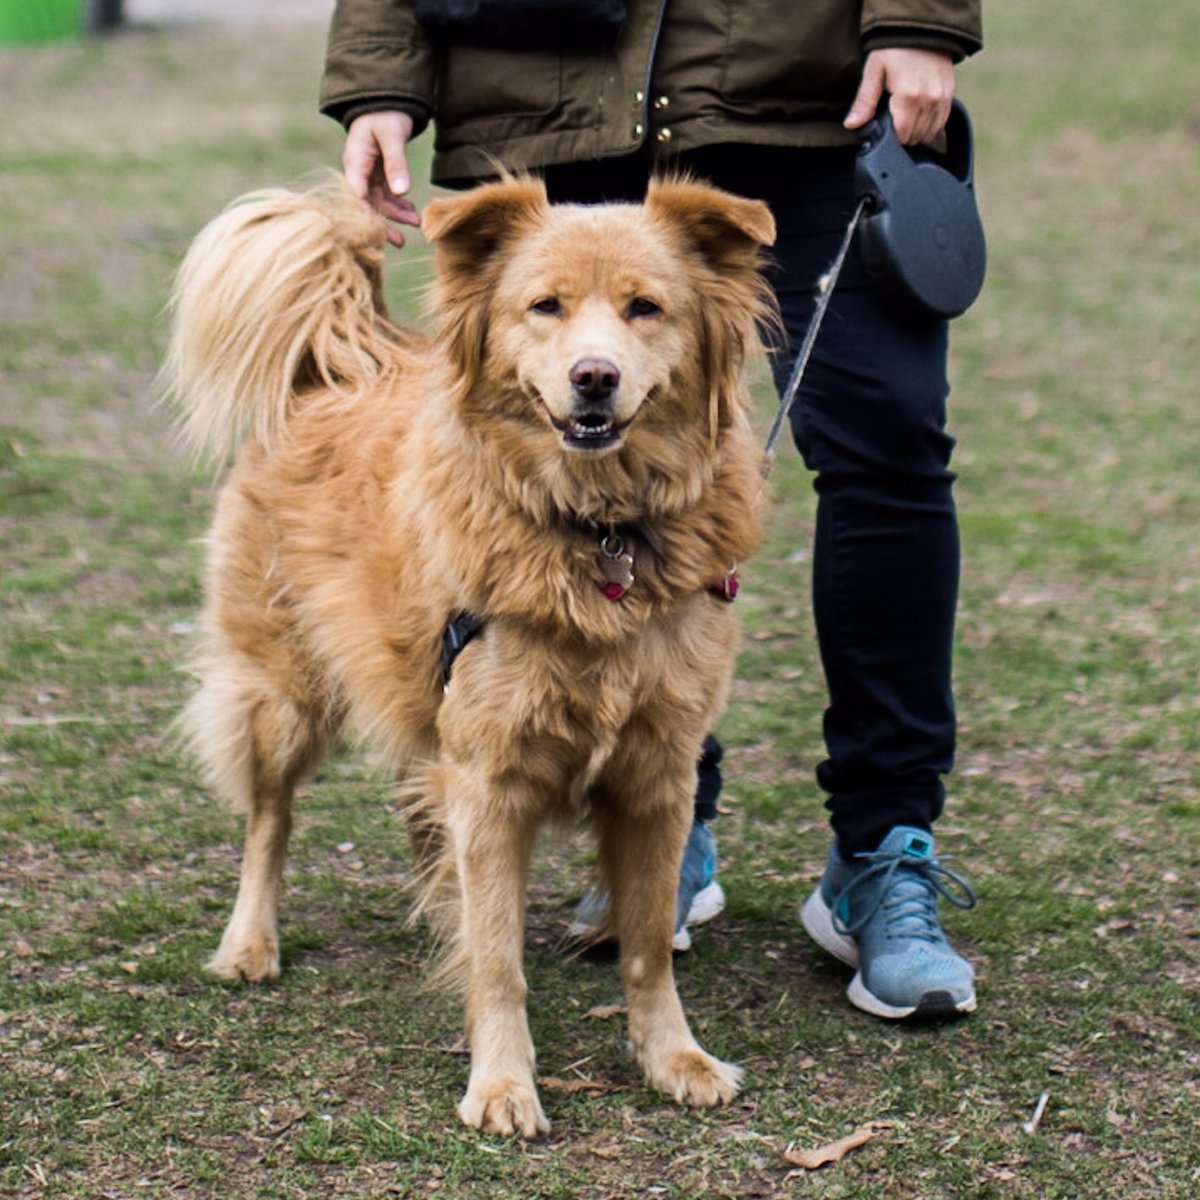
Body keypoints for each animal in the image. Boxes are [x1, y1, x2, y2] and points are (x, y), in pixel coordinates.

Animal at [162, 169, 777, 1132]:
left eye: (645, 308)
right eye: (545, 306)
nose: (593, 378)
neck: (597, 533)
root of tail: (334, 364)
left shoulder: (658, 776)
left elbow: (646, 944)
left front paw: (672, 1056)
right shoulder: (491, 778)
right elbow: (497, 957)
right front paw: (501, 1083)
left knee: (416, 801)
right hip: (283, 694)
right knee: (269, 821)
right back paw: (250, 942)